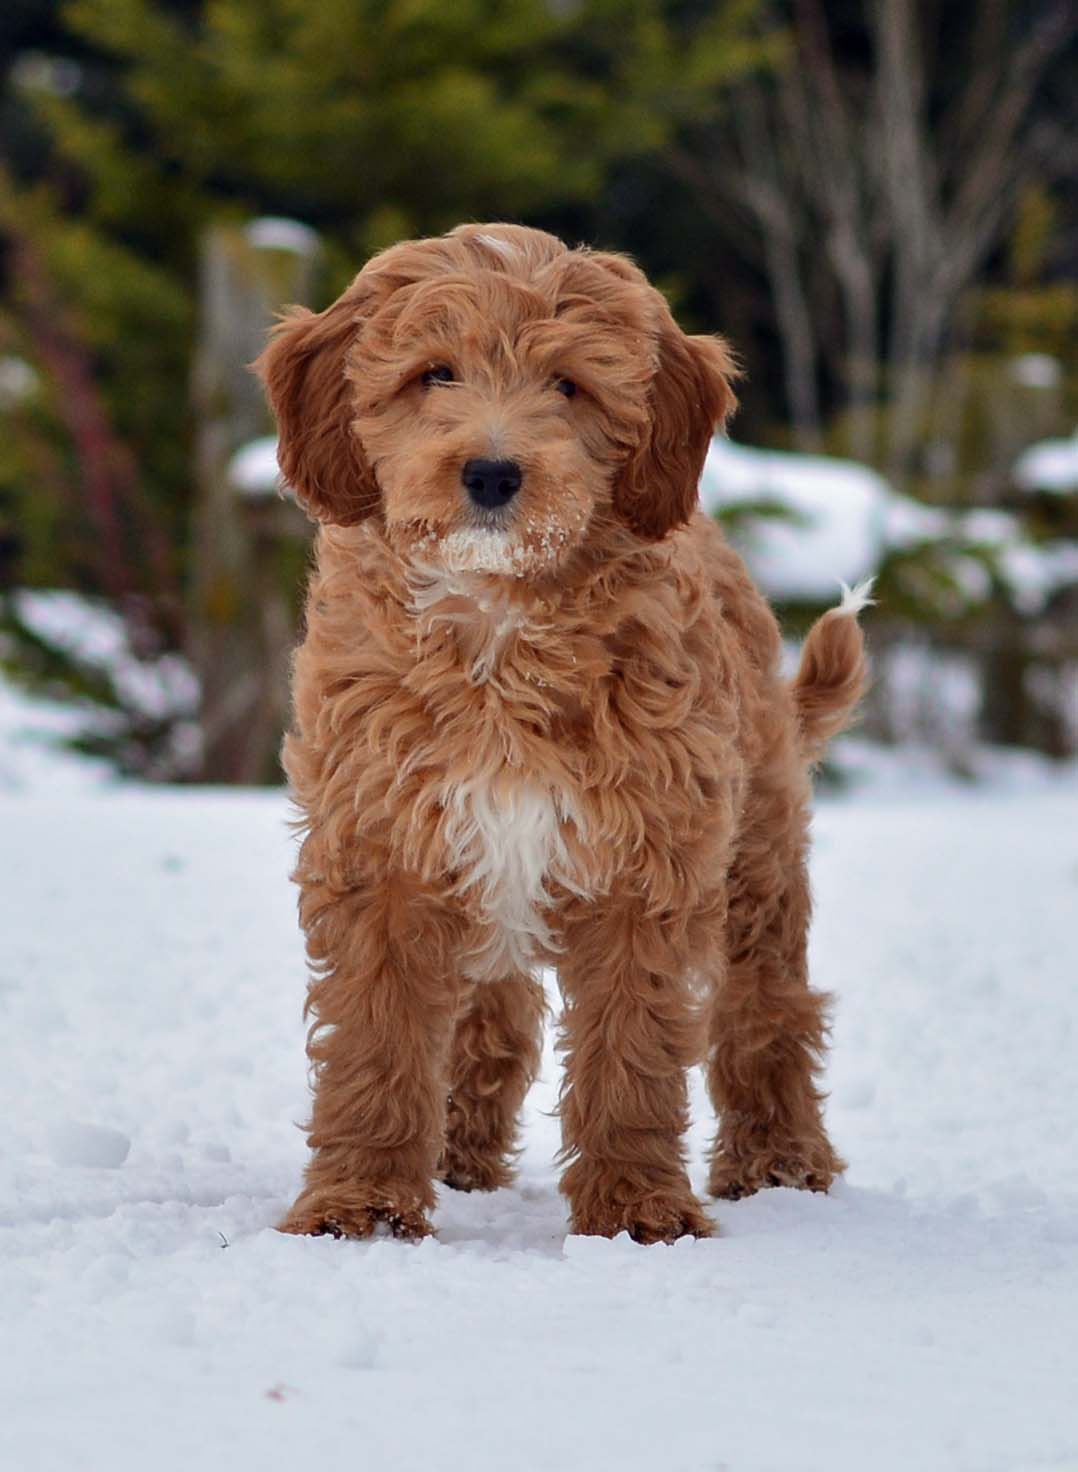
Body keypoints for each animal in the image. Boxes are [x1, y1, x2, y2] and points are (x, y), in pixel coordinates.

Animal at [256, 223, 871, 1248]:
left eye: (570, 385)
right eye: (433, 374)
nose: (493, 473)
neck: (499, 629)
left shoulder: (648, 859)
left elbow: (631, 1049)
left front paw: (636, 1214)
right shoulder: (385, 848)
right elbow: (380, 1041)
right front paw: (363, 1209)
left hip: (757, 854)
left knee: (768, 1011)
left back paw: (780, 1162)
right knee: (490, 1020)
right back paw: (459, 1159)